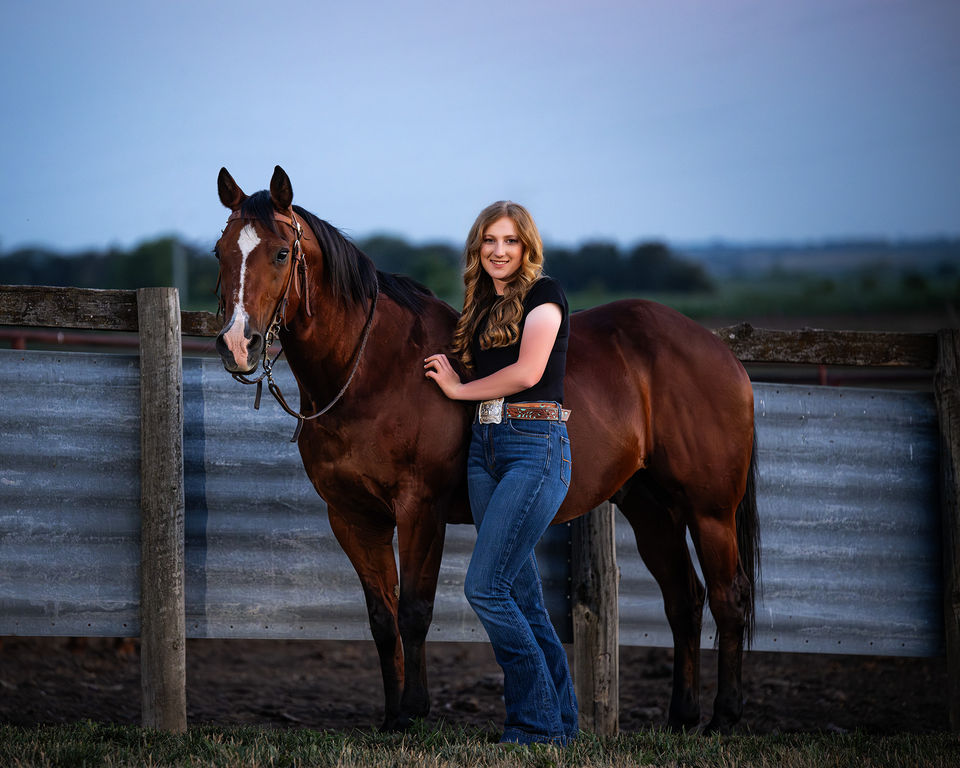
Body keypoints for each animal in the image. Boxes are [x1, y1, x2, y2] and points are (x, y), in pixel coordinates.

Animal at [212, 165, 759, 733]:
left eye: (281, 253)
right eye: (219, 251)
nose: (237, 346)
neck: (373, 371)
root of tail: (719, 351)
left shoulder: (420, 508)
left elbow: (414, 610)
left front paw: (414, 713)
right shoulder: (352, 516)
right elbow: (382, 618)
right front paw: (391, 718)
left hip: (709, 511)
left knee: (729, 598)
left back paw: (724, 717)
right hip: (652, 508)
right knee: (684, 600)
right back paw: (681, 717)